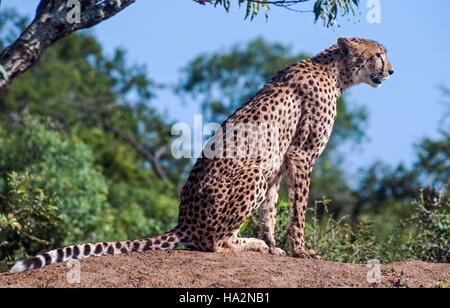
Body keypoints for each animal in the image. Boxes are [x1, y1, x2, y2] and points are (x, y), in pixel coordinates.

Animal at [8, 37, 392, 274]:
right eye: (378, 53)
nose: (391, 70)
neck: (334, 71)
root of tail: (184, 220)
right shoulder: (301, 154)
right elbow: (298, 208)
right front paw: (301, 250)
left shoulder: (280, 162)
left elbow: (270, 211)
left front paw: (275, 245)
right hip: (250, 173)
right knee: (213, 242)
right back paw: (247, 244)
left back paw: (258, 244)